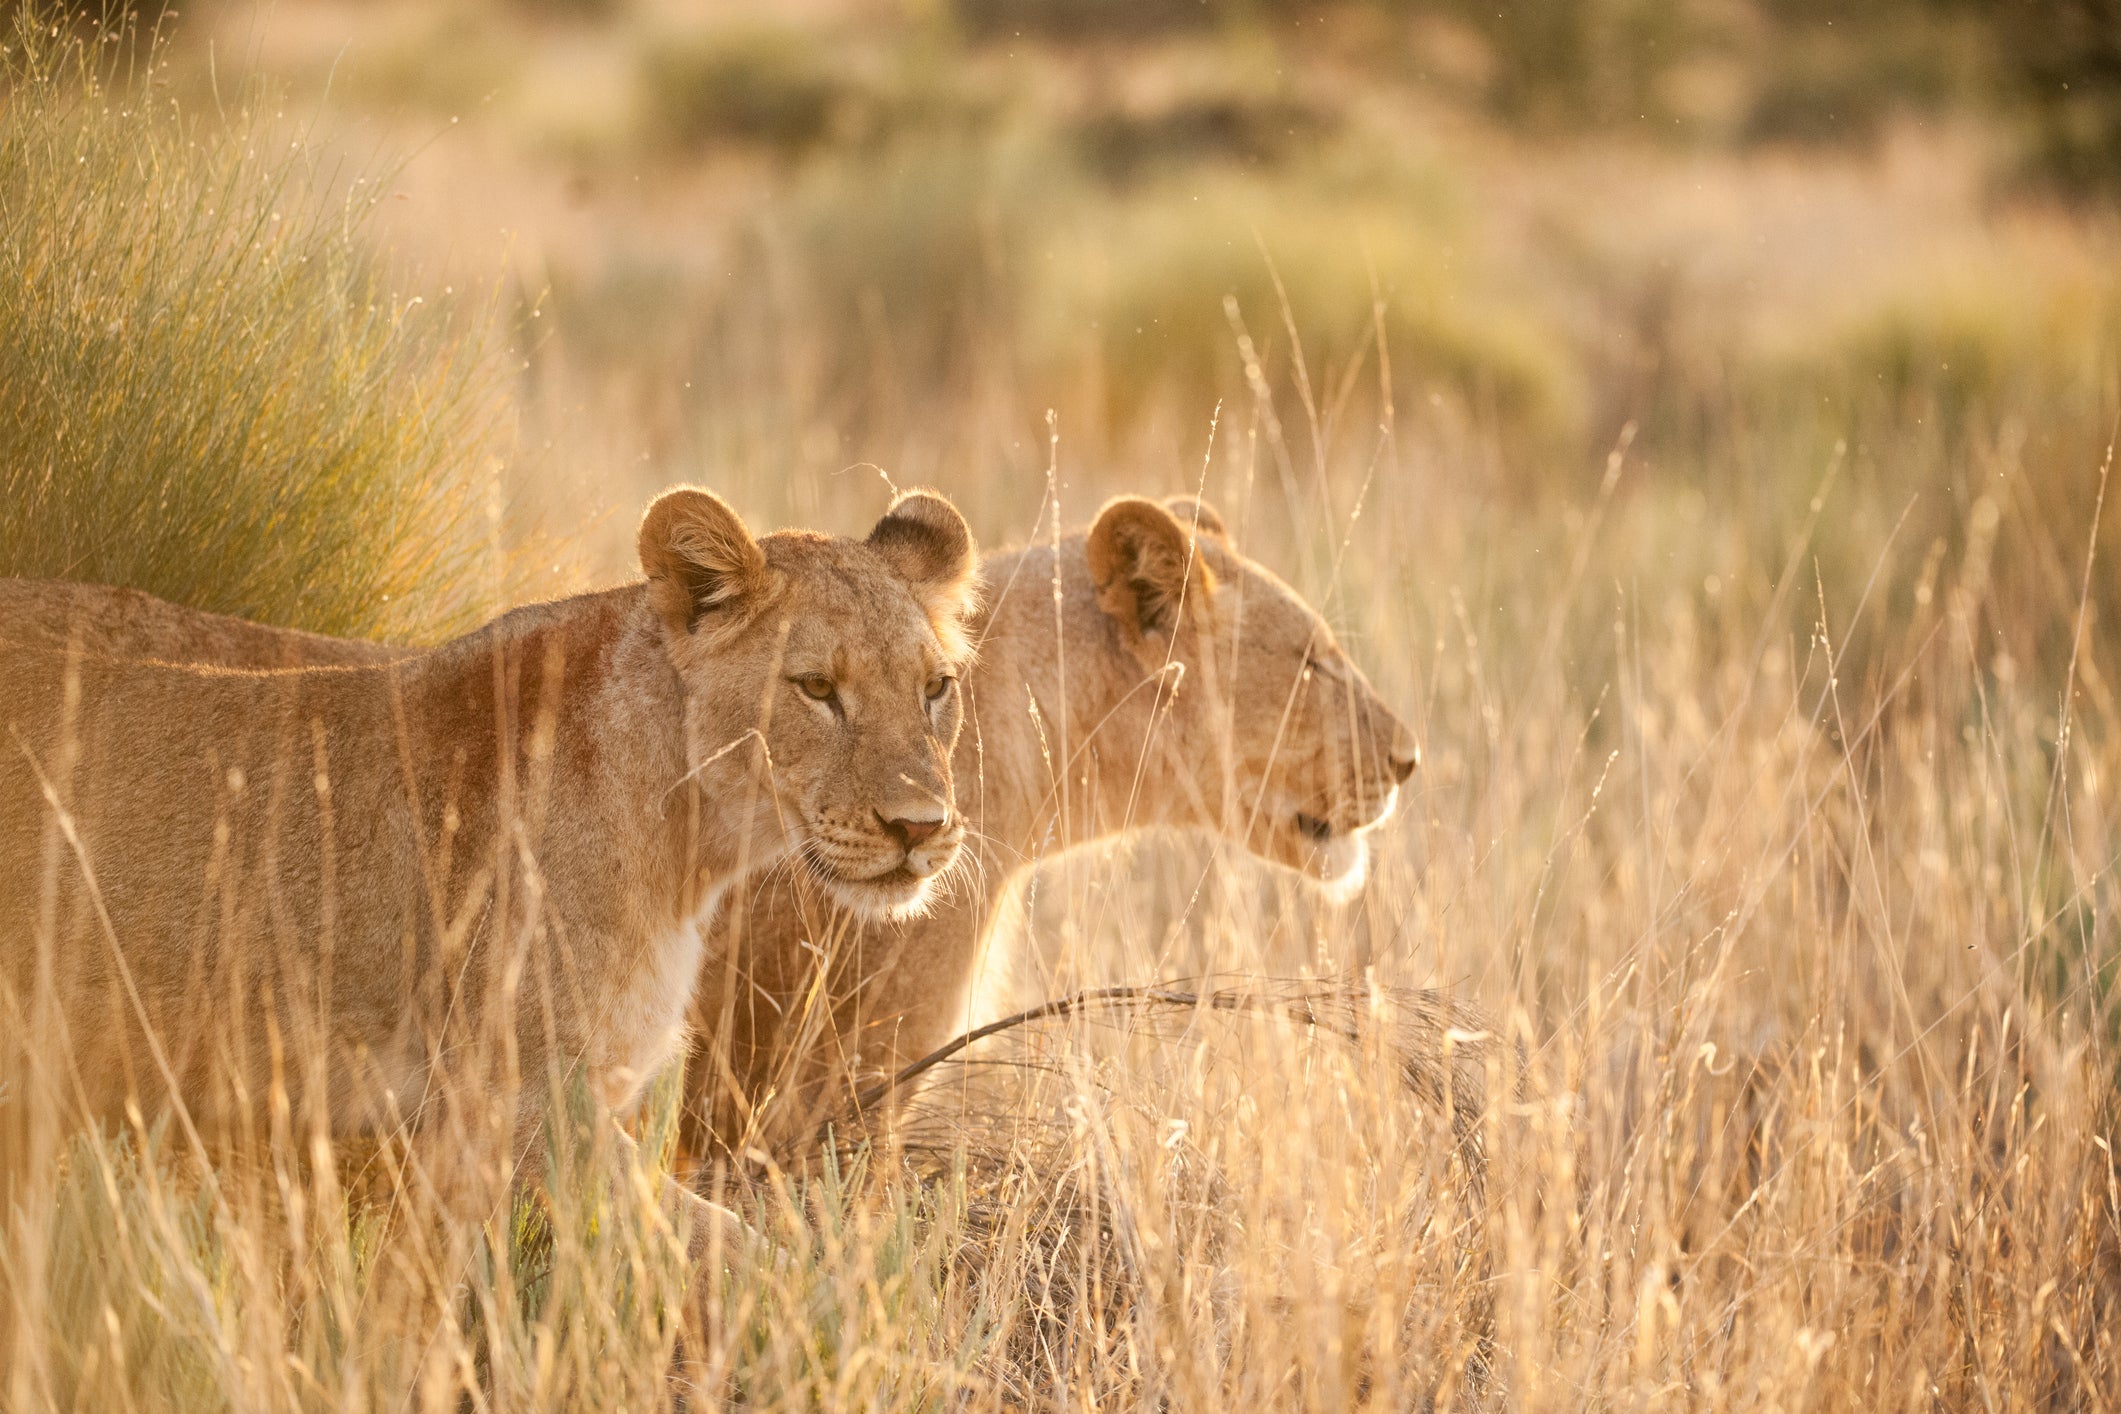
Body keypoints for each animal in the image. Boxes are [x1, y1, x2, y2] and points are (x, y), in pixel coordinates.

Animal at [0, 491, 975, 1263]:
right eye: (814, 688)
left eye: (935, 688)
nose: (920, 829)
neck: (689, 841)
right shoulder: (524, 1108)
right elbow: (744, 1256)